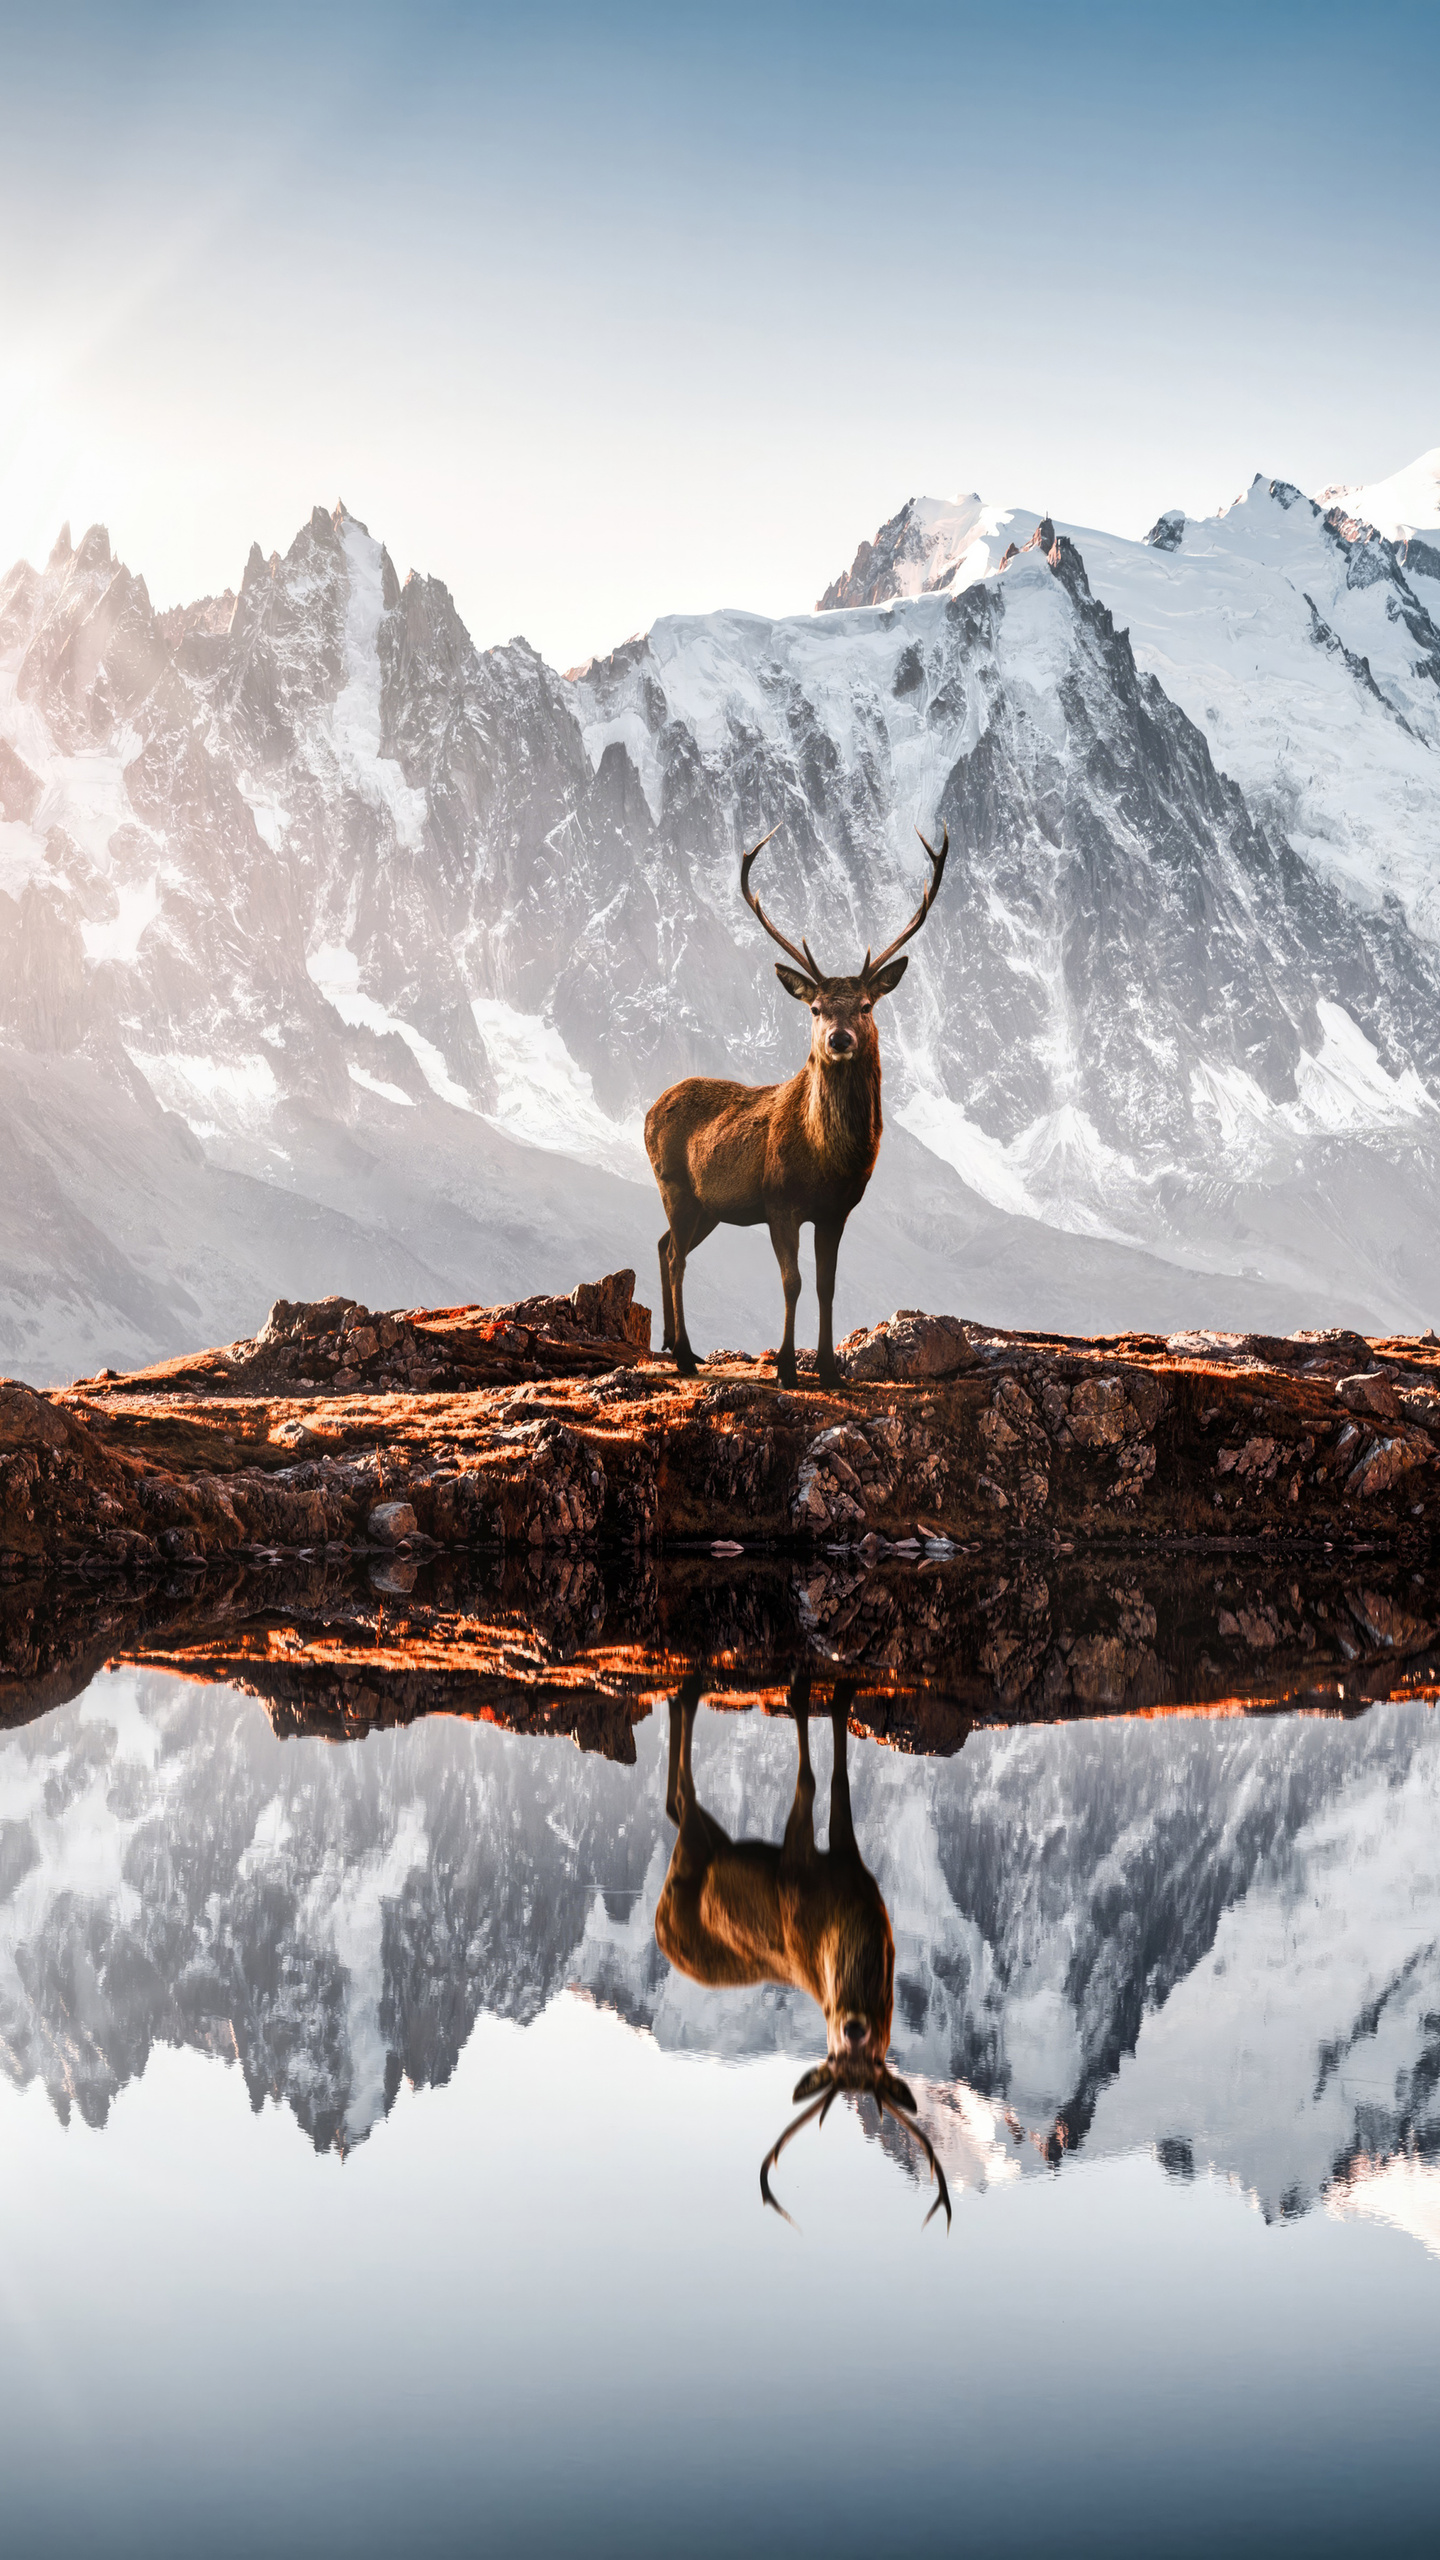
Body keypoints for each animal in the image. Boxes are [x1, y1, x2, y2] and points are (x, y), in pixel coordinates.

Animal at [644, 825, 948, 1388]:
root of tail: (650, 1109)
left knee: (663, 1244)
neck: (826, 1160)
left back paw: (674, 1343)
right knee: (676, 1256)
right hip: (673, 1182)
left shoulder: (837, 1211)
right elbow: (793, 1281)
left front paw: (829, 1369)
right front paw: (787, 1367)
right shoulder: (778, 1201)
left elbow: (827, 1285)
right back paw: (684, 1356)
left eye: (867, 1005)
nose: (839, 1038)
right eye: (816, 1008)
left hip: (708, 1205)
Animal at [655, 1671, 951, 2229]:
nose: (853, 2025)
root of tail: (660, 1930)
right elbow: (817, 1781)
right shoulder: (798, 1872)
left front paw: (832, 1696)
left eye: (875, 2056)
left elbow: (833, 1780)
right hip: (690, 1861)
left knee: (676, 1804)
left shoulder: (853, 1871)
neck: (845, 1922)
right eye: (832, 2055)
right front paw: (810, 1694)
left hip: (705, 1845)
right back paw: (689, 1689)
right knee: (683, 1792)